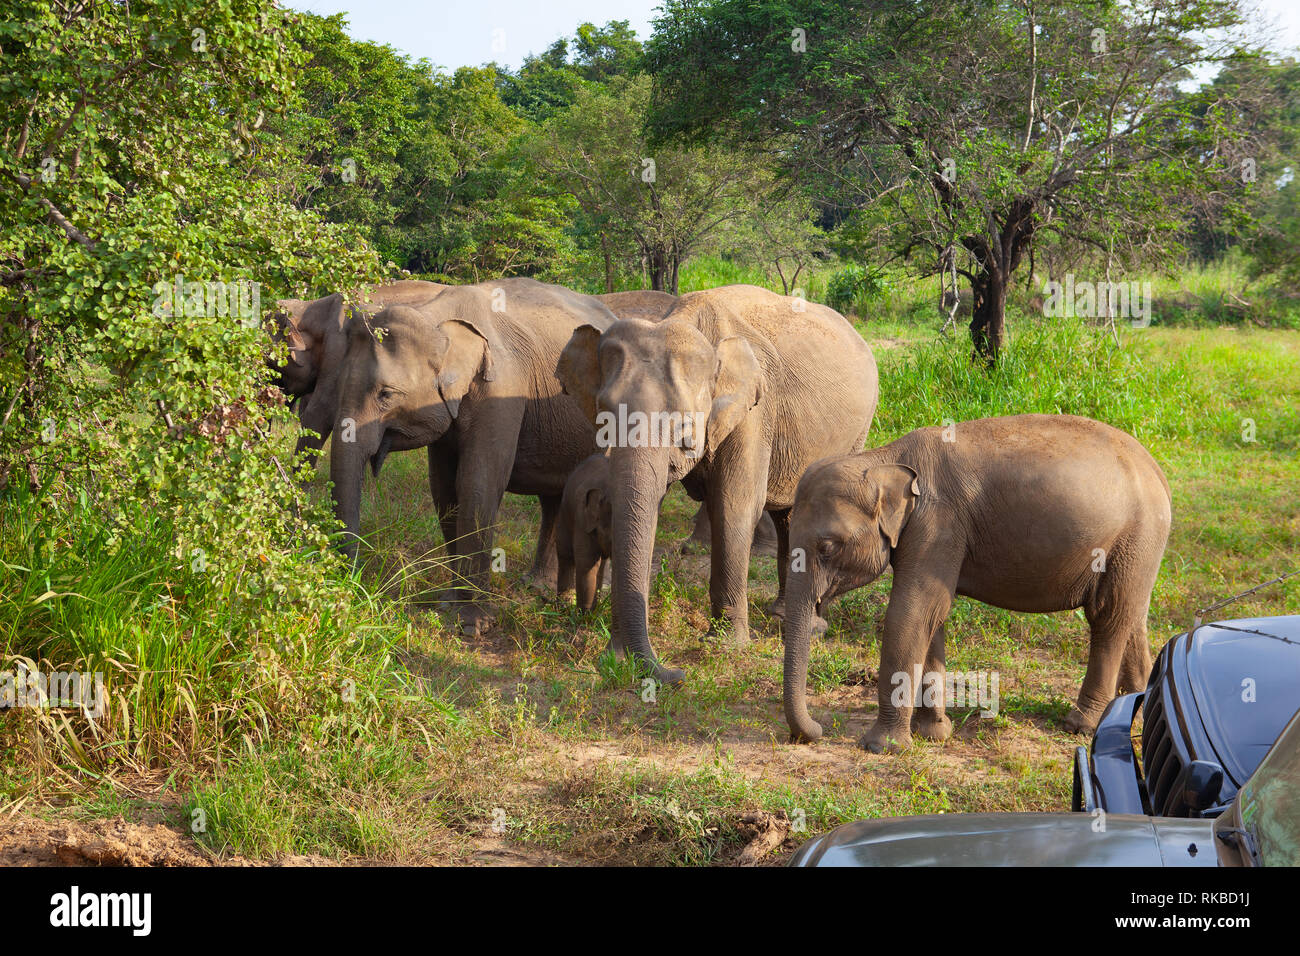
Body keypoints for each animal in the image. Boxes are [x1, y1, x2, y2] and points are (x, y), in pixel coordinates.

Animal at [553, 452, 613, 608]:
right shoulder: (582, 520)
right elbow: (587, 566)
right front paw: (585, 613)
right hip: (565, 513)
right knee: (565, 555)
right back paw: (563, 605)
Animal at [780, 416, 1180, 759]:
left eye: (828, 546)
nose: (817, 731)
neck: (884, 459)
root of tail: (1157, 471)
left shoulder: (938, 523)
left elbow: (913, 612)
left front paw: (882, 747)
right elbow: (933, 616)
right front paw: (934, 733)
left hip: (1135, 537)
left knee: (1107, 616)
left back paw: (1081, 724)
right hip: (1138, 549)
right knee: (1132, 616)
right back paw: (1136, 712)